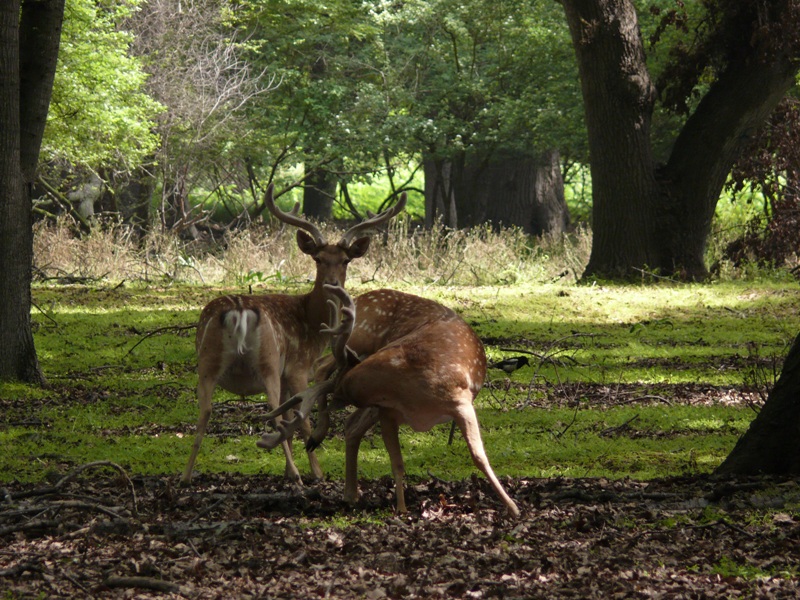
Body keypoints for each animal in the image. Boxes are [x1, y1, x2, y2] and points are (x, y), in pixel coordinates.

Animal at [181, 185, 406, 486]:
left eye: (346, 260)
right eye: (318, 259)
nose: (332, 284)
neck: (310, 321)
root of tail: (238, 311)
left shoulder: (287, 375)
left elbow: (289, 413)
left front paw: (288, 470)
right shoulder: (297, 367)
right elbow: (300, 418)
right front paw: (313, 471)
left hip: (206, 362)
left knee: (205, 411)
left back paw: (185, 476)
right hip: (268, 361)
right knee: (272, 412)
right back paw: (302, 476)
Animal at [260, 284, 520, 516]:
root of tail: (361, 298)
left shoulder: (461, 402)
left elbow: (479, 457)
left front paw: (512, 507)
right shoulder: (389, 411)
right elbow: (397, 462)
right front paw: (401, 509)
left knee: (347, 417)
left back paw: (348, 491)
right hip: (361, 341)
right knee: (325, 374)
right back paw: (329, 456)